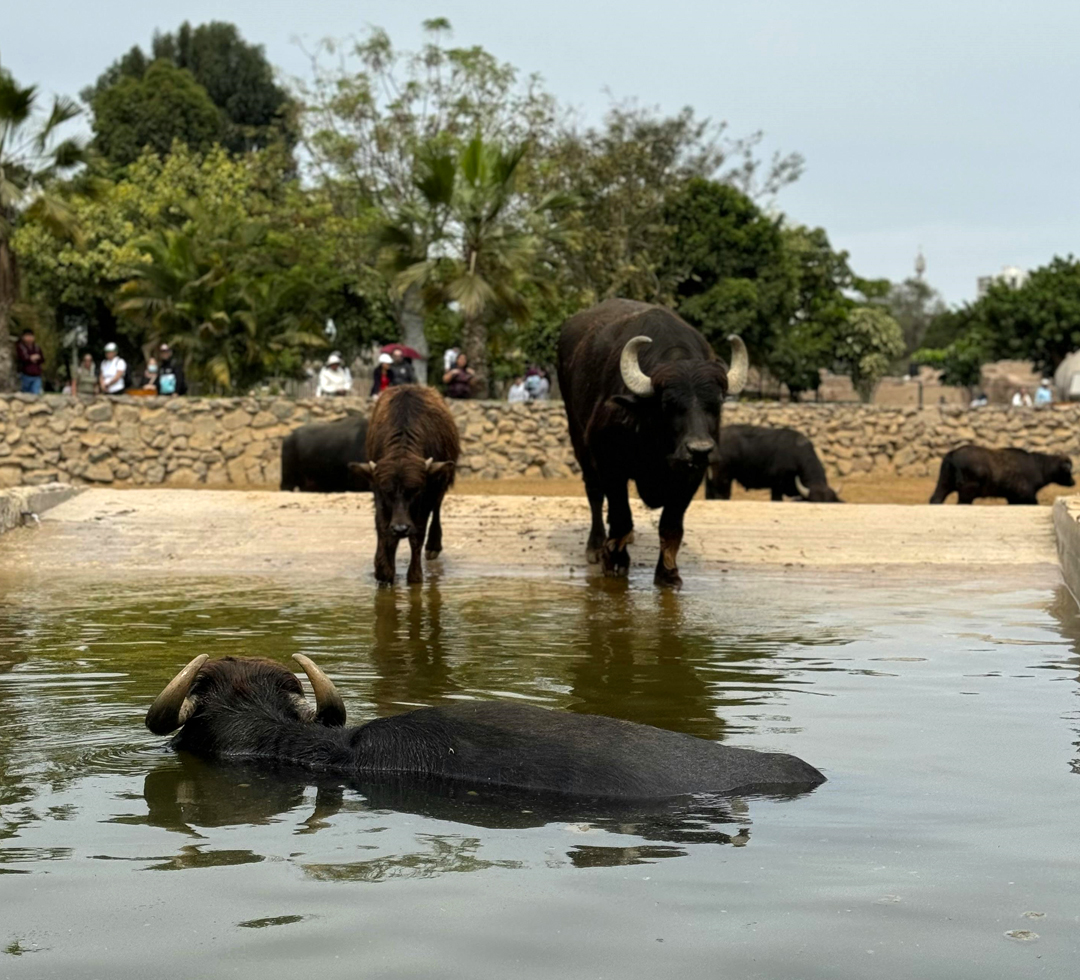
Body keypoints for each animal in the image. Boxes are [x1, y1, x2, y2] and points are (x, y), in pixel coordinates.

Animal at [349, 382, 460, 583]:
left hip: (442, 481)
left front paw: (415, 575)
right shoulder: (378, 493)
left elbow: (418, 533)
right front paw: (383, 568)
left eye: (415, 491)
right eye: (387, 492)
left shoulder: (427, 495)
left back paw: (433, 546)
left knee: (437, 508)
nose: (401, 529)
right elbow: (383, 527)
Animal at [557, 298, 743, 587]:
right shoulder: (610, 462)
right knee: (594, 492)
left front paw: (668, 574)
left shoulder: (693, 474)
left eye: (716, 404)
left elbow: (671, 525)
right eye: (668, 404)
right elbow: (621, 516)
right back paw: (596, 545)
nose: (699, 449)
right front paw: (615, 561)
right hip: (577, 435)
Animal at [928, 445, 1071, 505]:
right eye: (1068, 470)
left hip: (944, 484)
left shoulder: (1012, 498)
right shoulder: (1026, 497)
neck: (1038, 466)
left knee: (935, 499)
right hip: (966, 492)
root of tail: (953, 453)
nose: (1073, 482)